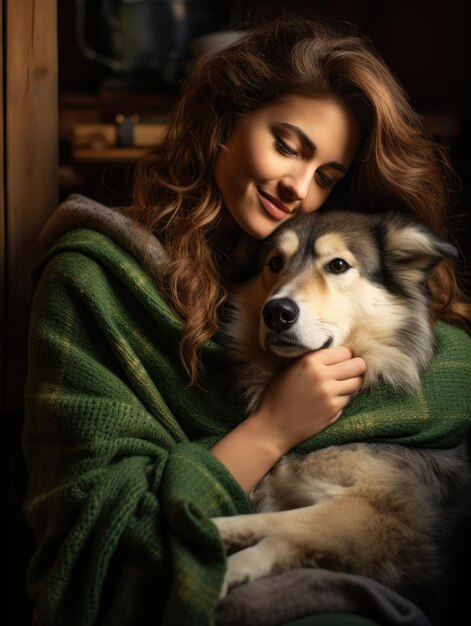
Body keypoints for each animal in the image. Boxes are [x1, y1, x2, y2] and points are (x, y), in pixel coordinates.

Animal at [214, 207, 471, 608]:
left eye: (338, 265)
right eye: (275, 263)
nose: (277, 312)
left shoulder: (383, 511)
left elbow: (283, 523)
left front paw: (212, 537)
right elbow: (284, 532)